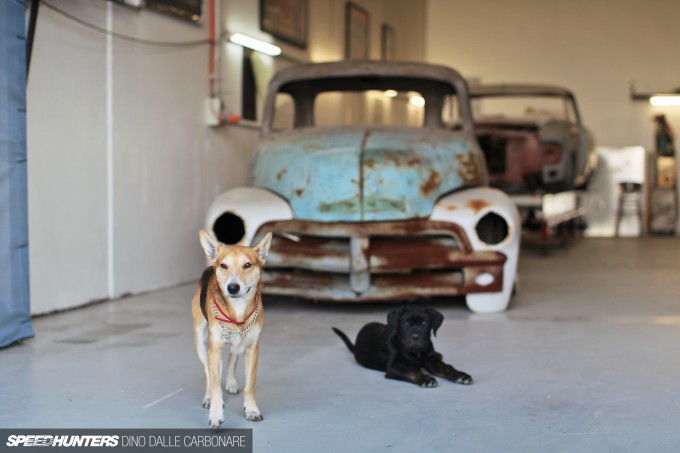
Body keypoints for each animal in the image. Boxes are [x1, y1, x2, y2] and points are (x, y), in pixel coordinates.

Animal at [191, 230, 272, 428]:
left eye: (247, 265)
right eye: (224, 265)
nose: (233, 288)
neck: (238, 310)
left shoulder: (252, 349)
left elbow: (250, 385)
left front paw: (252, 410)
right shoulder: (214, 349)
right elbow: (214, 384)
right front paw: (215, 415)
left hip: (237, 343)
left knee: (232, 358)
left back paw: (231, 383)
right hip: (201, 341)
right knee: (207, 372)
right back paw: (209, 398)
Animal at [332, 307, 473, 388]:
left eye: (424, 323)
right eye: (406, 323)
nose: (415, 337)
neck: (415, 352)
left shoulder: (431, 360)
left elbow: (446, 367)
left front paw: (460, 375)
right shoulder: (394, 366)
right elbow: (411, 370)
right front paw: (425, 378)